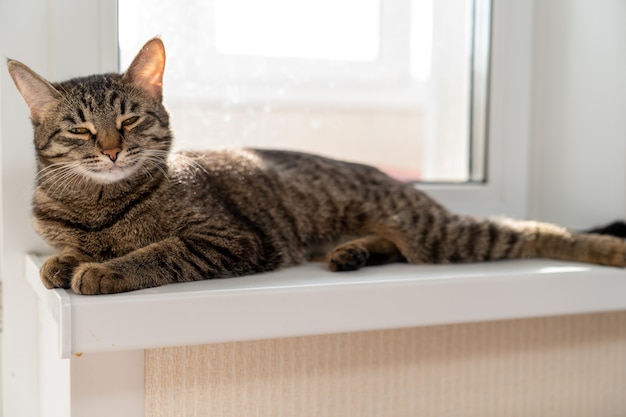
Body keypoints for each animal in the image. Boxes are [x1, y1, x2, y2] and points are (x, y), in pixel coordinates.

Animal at [4, 37, 624, 294]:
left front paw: (105, 268)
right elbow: (62, 254)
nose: (111, 150)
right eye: (80, 130)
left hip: (443, 234)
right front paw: (65, 261)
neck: (96, 206)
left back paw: (606, 249)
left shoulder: (229, 238)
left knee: (534, 231)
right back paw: (353, 253)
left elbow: (157, 252)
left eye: (129, 121)